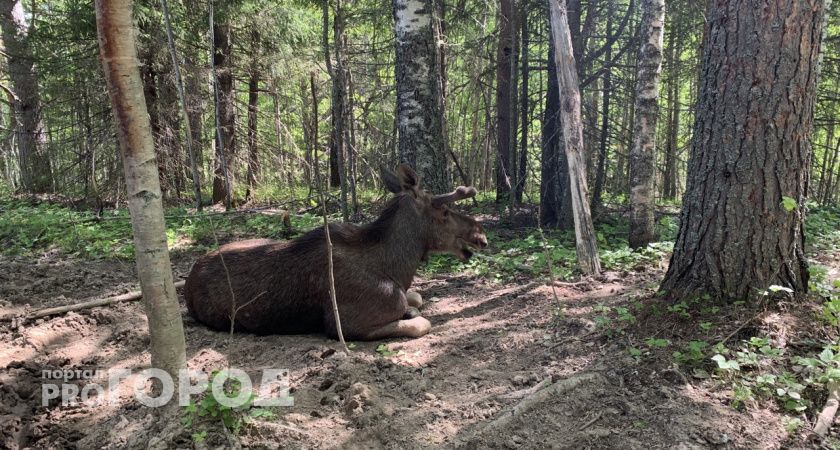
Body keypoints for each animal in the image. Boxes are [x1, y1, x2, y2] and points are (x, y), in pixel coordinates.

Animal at [184, 167, 486, 340]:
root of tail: (188, 280)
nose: (480, 235)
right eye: (444, 212)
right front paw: (410, 313)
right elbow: (421, 322)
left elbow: (417, 296)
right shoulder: (348, 324)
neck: (397, 268)